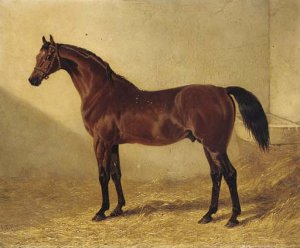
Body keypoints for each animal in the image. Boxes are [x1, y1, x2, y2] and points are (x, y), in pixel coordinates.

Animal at [28, 35, 270, 227]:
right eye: (37, 57)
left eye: (47, 57)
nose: (33, 80)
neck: (102, 93)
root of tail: (222, 90)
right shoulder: (113, 144)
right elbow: (116, 174)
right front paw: (118, 209)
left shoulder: (100, 142)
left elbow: (103, 175)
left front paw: (101, 211)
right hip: (209, 146)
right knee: (216, 174)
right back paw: (208, 215)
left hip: (215, 146)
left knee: (230, 174)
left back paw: (233, 218)